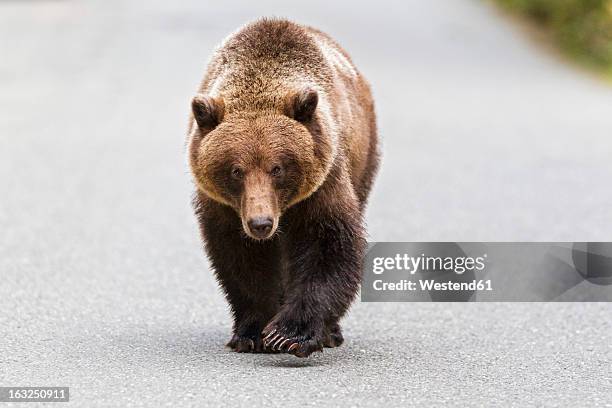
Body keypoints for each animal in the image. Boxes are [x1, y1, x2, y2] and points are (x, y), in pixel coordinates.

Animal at [186, 18, 378, 356]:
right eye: (236, 170)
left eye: (277, 168)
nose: (261, 223)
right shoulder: (225, 207)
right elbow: (240, 259)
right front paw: (252, 332)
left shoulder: (322, 184)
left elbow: (328, 245)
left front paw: (291, 334)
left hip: (364, 159)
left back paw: (332, 332)